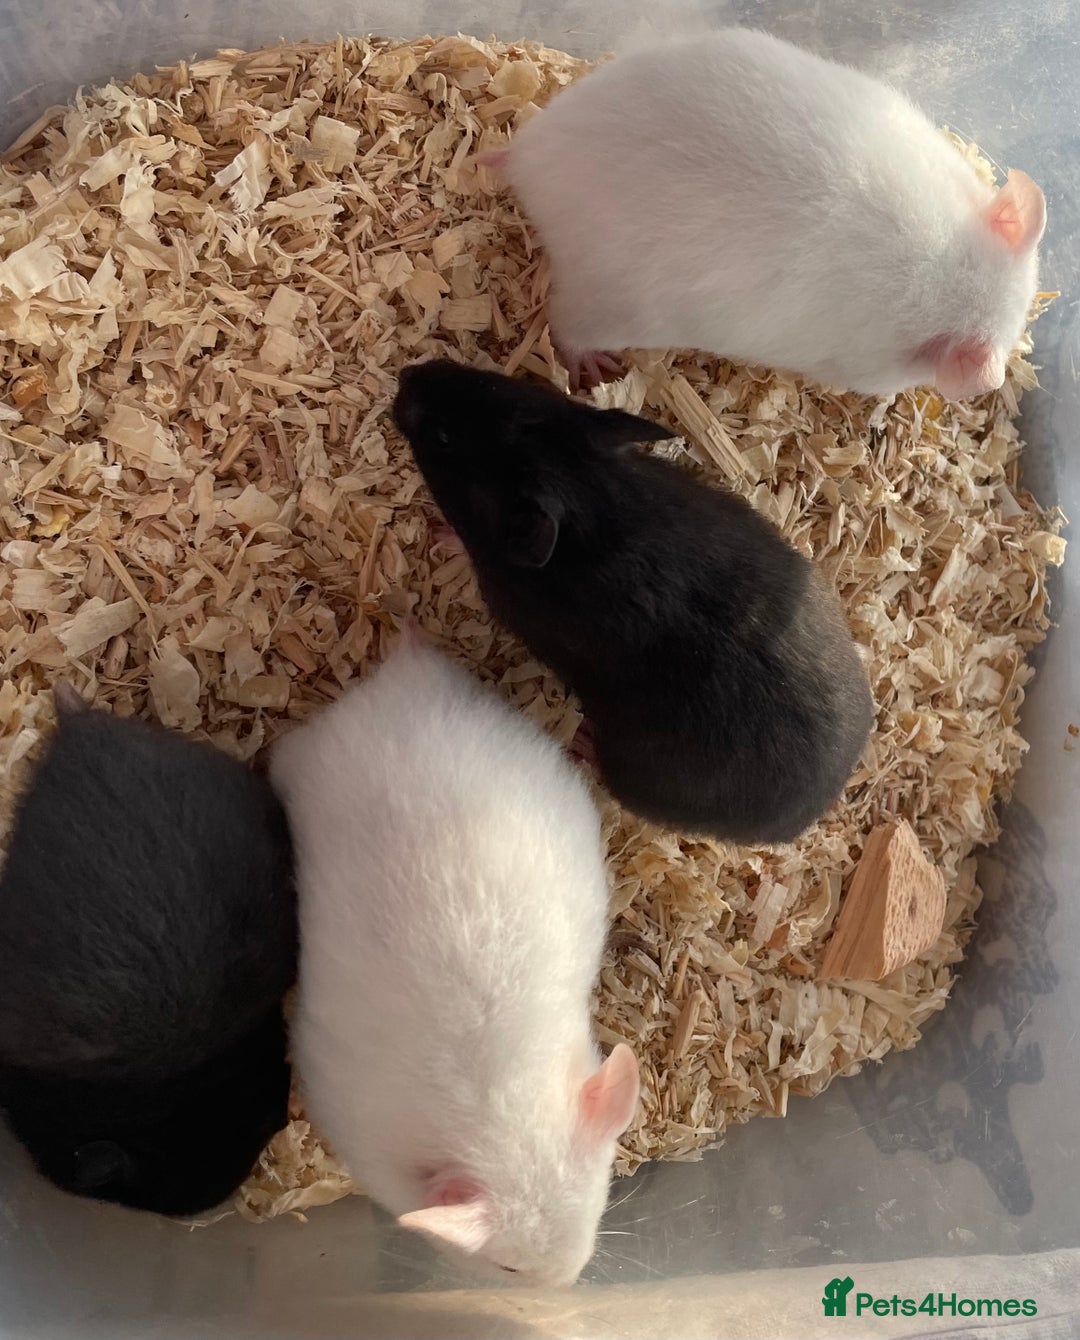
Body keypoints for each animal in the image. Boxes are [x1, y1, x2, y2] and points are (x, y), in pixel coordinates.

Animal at [270, 631, 639, 1288]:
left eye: (598, 1214)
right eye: (508, 1267)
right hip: (301, 761)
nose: (566, 1289)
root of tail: (403, 678)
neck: (502, 1117)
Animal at [393, 359, 874, 845]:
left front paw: (441, 535)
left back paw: (582, 740)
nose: (407, 373)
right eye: (493, 382)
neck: (594, 503)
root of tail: (809, 815)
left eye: (442, 437)